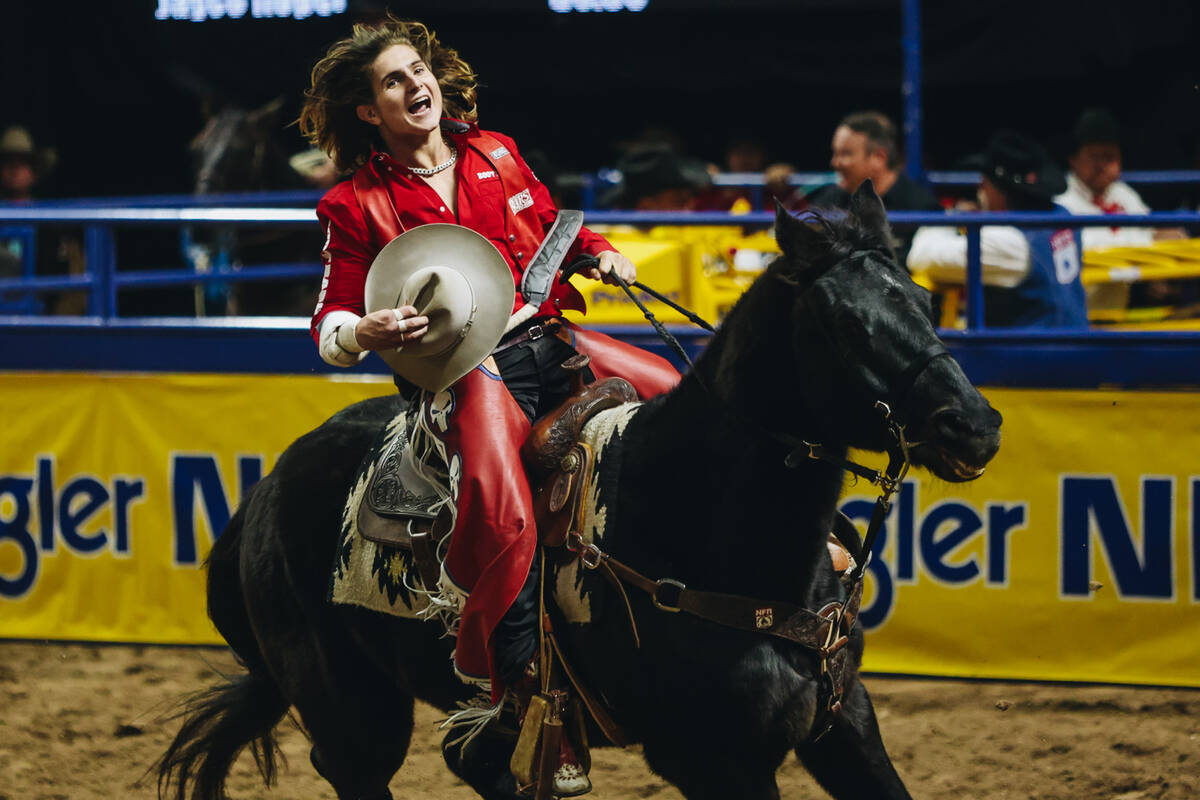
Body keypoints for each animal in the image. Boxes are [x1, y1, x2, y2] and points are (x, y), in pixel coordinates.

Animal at [159, 184, 1003, 800]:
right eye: (845, 325)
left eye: (922, 302)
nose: (975, 425)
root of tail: (262, 495)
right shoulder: (714, 760)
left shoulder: (843, 723)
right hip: (351, 714)